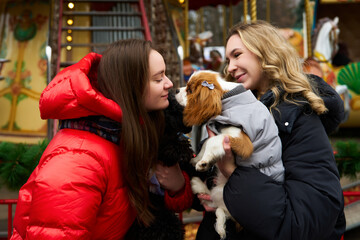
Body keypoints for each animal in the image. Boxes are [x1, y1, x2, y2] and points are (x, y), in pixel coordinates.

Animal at [175, 70, 284, 239]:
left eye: (190, 91)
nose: (175, 90)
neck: (228, 98)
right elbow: (207, 142)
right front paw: (197, 159)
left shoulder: (242, 142)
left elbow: (214, 141)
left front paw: (204, 162)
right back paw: (197, 185)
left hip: (225, 192)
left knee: (218, 205)